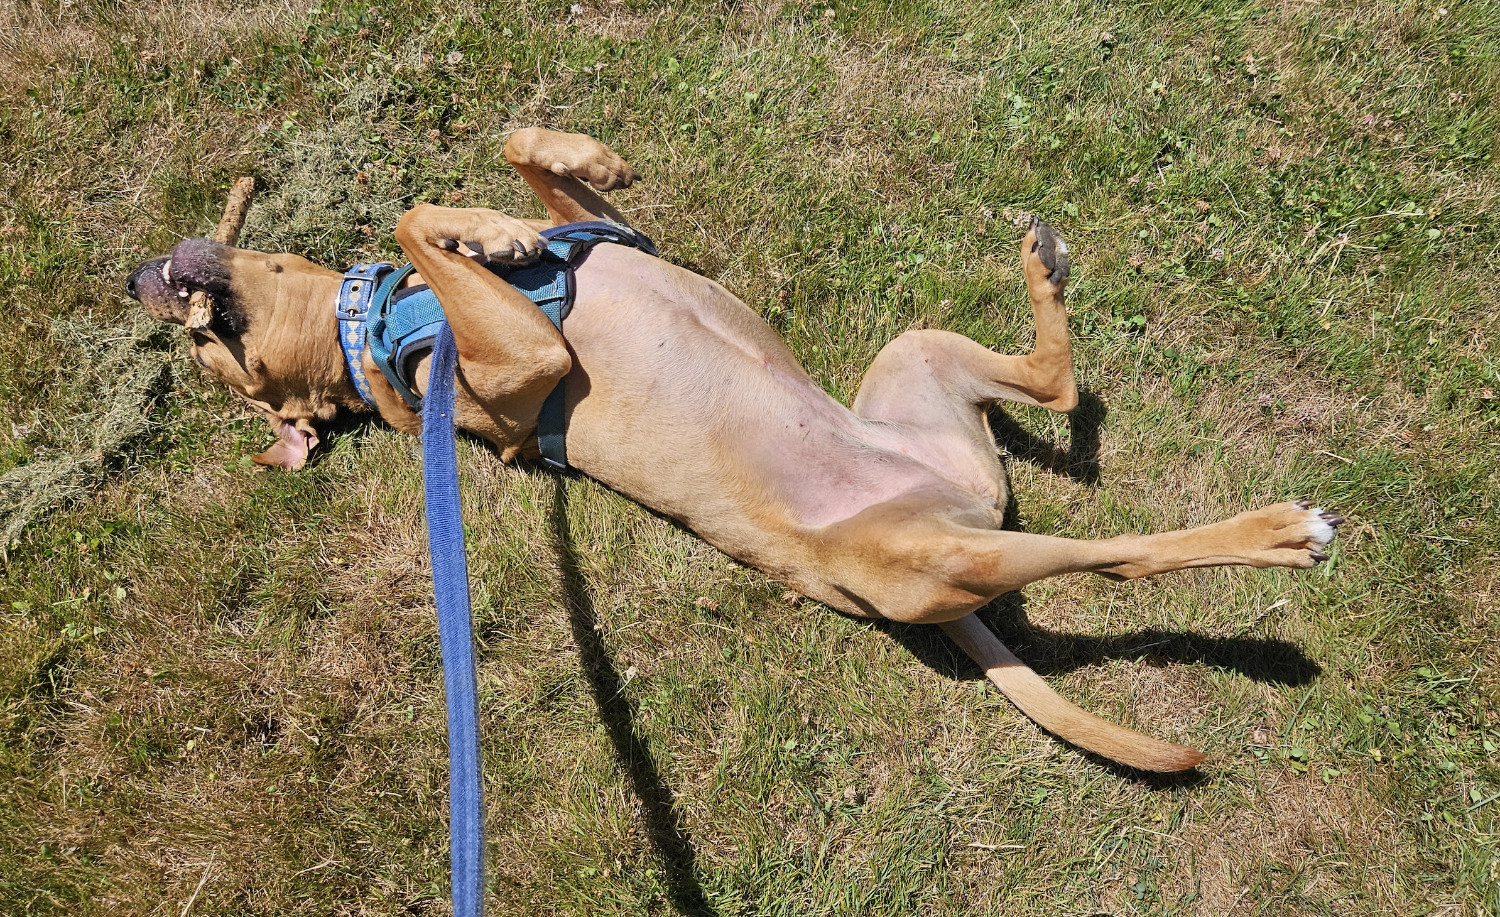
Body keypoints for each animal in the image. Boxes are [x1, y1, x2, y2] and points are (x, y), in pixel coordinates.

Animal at [129, 127, 1344, 774]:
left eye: (200, 343)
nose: (146, 277)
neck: (381, 326)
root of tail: (953, 507)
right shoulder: (518, 364)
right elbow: (418, 218)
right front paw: (486, 229)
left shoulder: (610, 245)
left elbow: (519, 165)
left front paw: (542, 189)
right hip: (929, 558)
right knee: (1121, 555)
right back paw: (1281, 536)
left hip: (918, 364)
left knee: (1054, 382)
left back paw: (1042, 270)